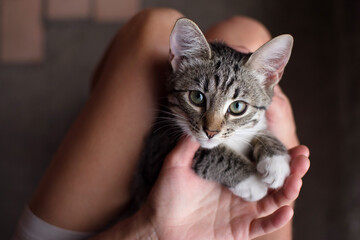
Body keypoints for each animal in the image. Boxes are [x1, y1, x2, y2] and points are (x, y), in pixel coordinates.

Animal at [135, 17, 292, 203]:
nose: (211, 132)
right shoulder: (158, 146)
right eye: (197, 97)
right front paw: (252, 181)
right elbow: (210, 154)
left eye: (237, 107)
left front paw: (276, 160)